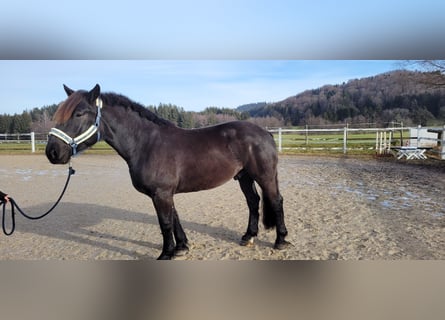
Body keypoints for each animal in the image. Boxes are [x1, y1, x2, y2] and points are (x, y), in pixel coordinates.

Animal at [45, 85, 288, 260]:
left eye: (79, 113)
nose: (52, 152)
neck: (146, 143)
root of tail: (264, 132)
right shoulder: (165, 193)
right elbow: (174, 217)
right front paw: (181, 247)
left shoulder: (161, 193)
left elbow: (165, 223)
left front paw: (166, 254)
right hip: (244, 176)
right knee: (253, 201)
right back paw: (248, 236)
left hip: (264, 175)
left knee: (276, 200)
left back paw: (280, 241)